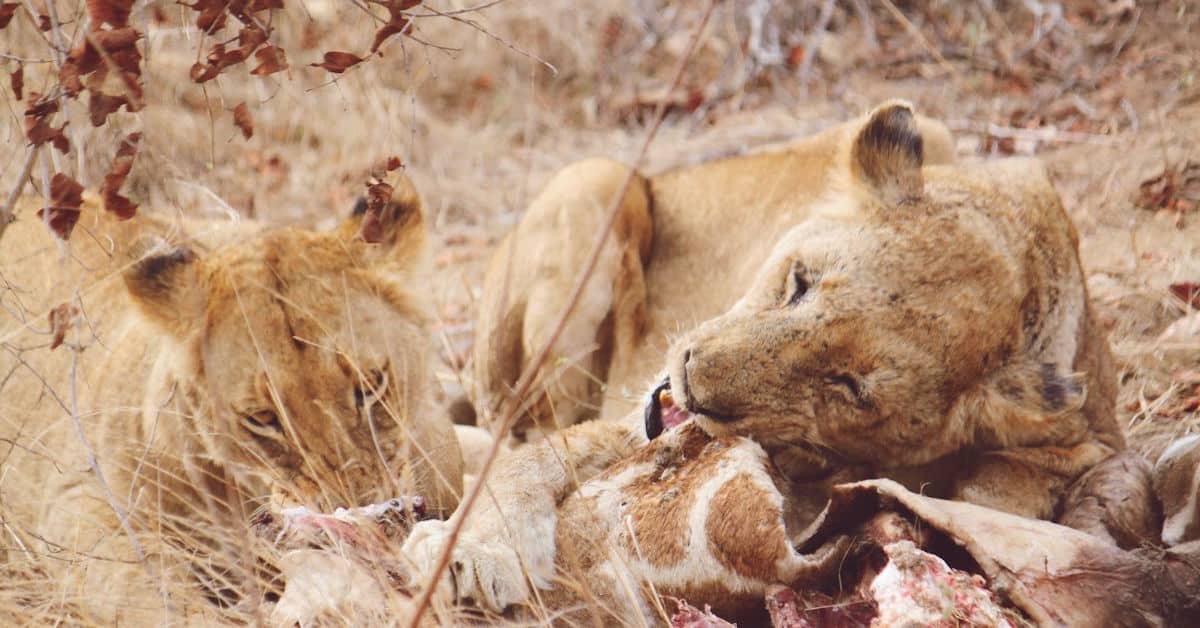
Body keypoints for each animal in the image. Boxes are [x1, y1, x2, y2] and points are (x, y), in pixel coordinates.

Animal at [402, 102, 1145, 622]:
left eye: (848, 388)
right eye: (799, 282)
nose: (690, 379)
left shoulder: (1087, 438)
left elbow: (1000, 492)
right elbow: (527, 463)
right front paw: (476, 551)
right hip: (595, 182)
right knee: (514, 425)